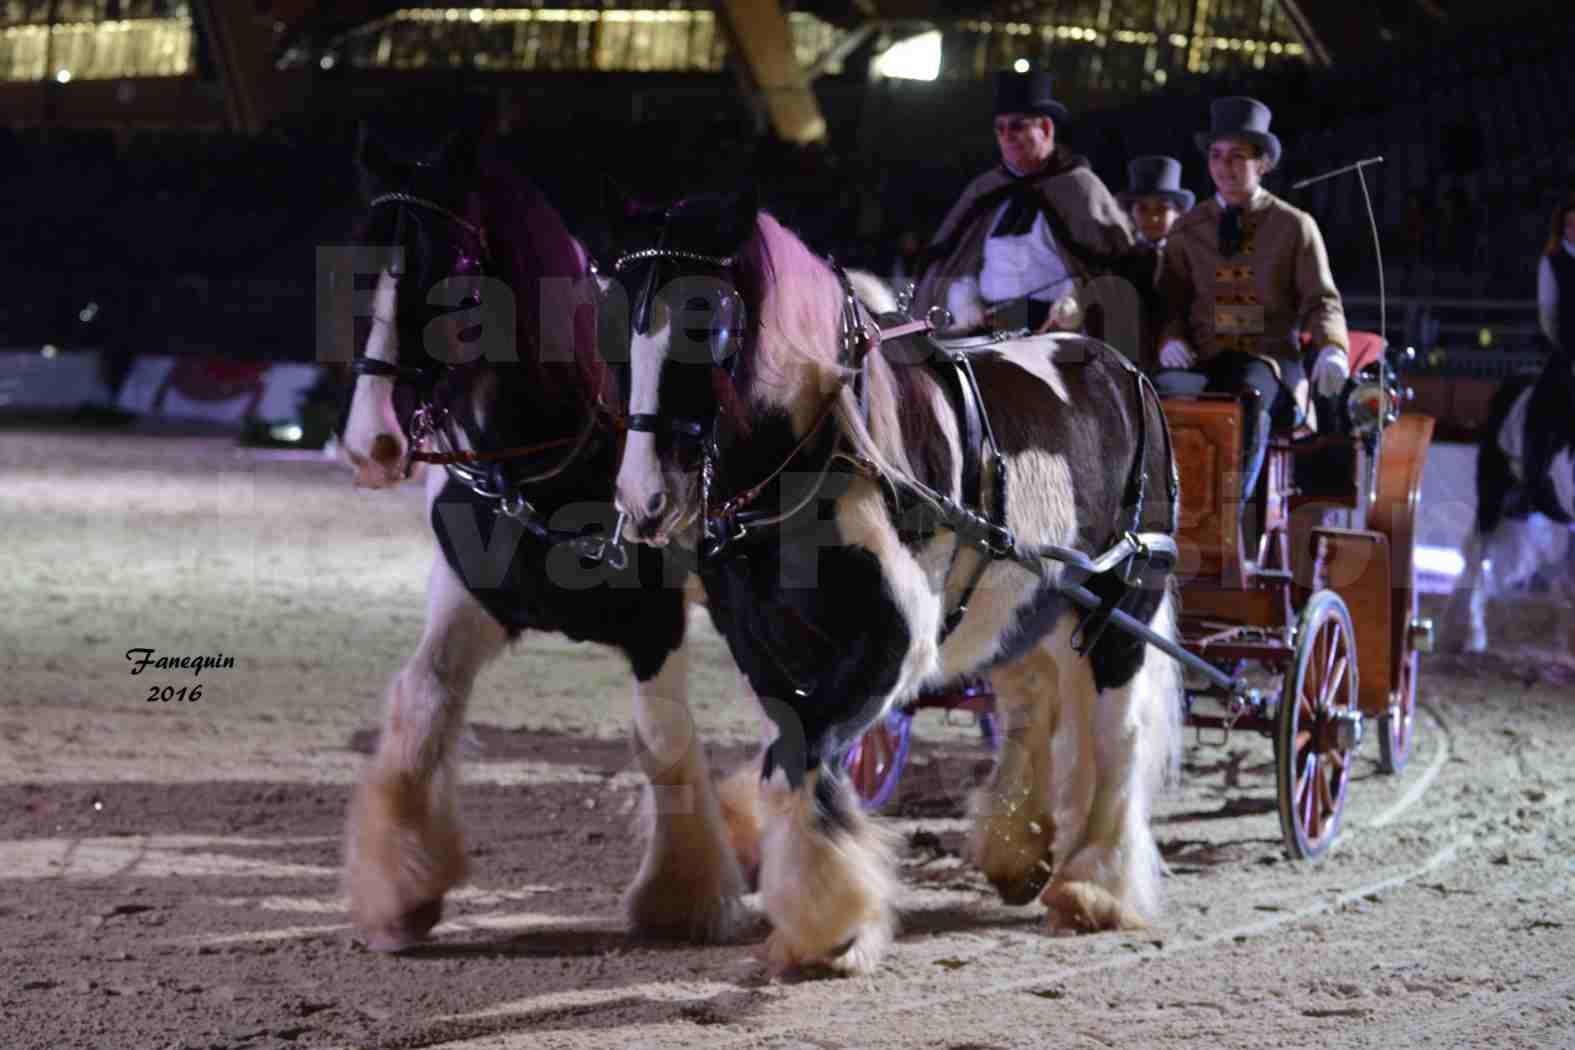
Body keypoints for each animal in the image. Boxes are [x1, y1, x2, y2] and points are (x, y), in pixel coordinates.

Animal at [333, 129, 749, 950]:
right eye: (361, 267)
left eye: (456, 281)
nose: (372, 443)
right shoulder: (475, 597)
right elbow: (423, 701)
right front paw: (403, 891)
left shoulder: (657, 623)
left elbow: (661, 739)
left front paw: (681, 898)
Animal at [601, 195, 1184, 976]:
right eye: (614, 329)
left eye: (708, 322)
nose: (642, 500)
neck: (823, 454)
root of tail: (1124, 371)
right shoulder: (765, 648)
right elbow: (797, 753)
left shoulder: (893, 648)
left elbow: (798, 758)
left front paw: (830, 923)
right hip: (1031, 601)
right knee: (1034, 701)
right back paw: (1018, 852)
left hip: (1126, 596)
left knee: (1116, 731)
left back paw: (1096, 885)